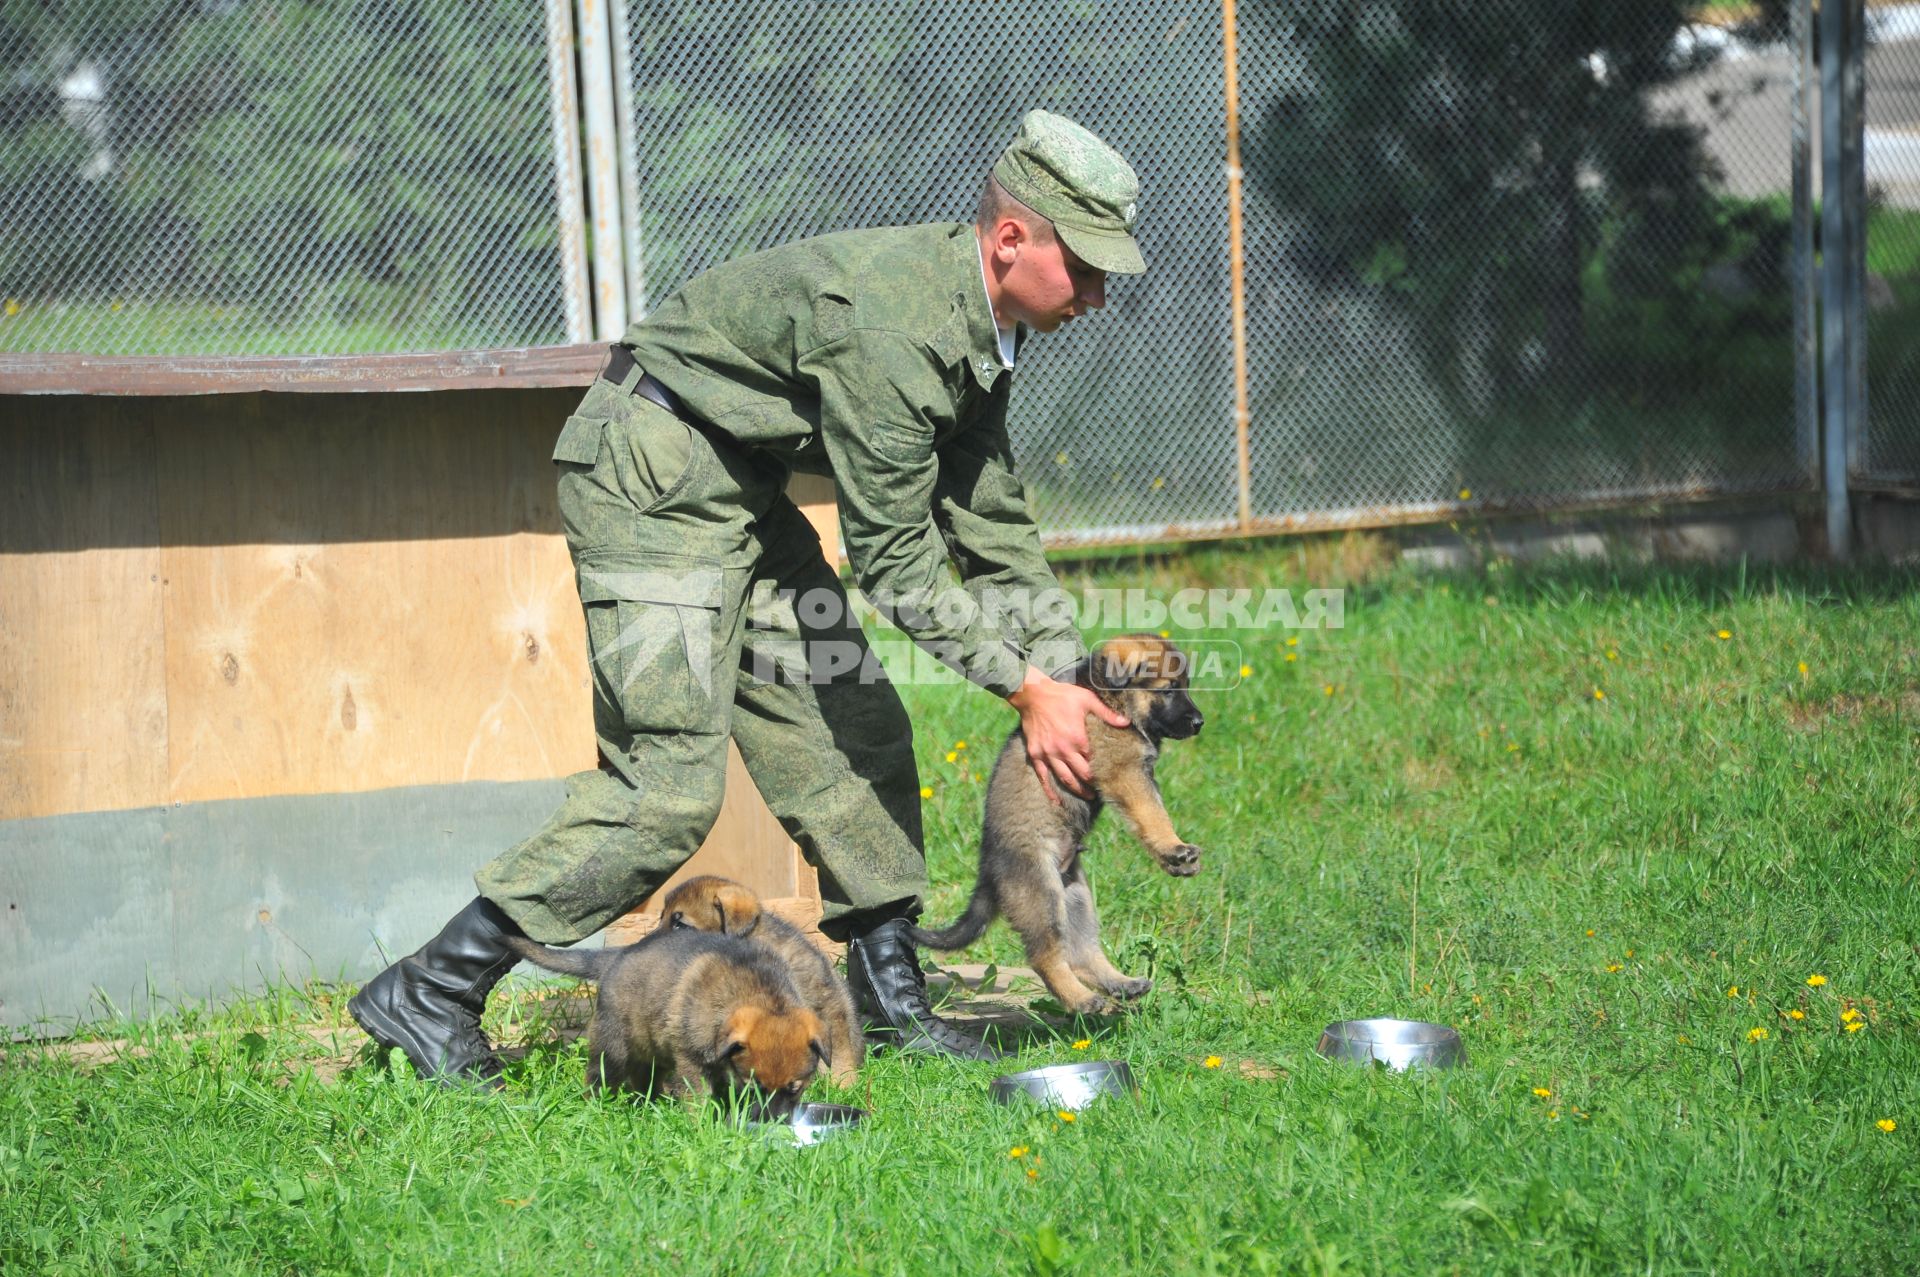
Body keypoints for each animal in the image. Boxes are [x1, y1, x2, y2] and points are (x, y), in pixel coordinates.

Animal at [510, 917, 833, 1113]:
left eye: (795, 1087)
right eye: (756, 1087)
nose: (774, 1124)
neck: (763, 997)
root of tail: (618, 955)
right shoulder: (690, 1059)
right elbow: (697, 1097)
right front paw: (701, 1125)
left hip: (651, 1048)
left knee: (644, 1077)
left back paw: (648, 1106)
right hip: (612, 1046)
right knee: (600, 1077)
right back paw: (598, 1108)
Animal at [910, 637, 1205, 1013]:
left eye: (1186, 687)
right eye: (1168, 690)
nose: (1200, 722)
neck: (1108, 696)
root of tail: (987, 868)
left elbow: (1153, 813)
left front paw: (1177, 858)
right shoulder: (1124, 772)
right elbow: (1152, 814)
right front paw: (1174, 847)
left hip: (1075, 896)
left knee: (1081, 953)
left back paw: (1121, 984)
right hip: (1041, 893)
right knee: (1045, 956)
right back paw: (1080, 1000)